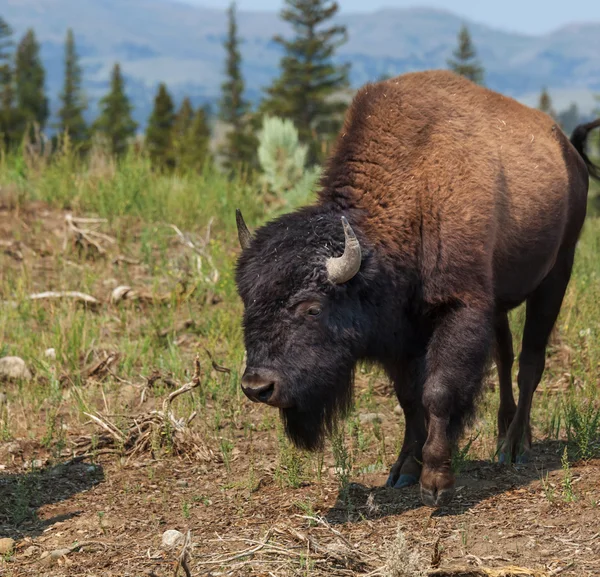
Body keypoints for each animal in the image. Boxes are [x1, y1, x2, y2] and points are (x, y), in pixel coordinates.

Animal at [234, 70, 600, 506]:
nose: (257, 386)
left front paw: (436, 481)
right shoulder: (400, 332)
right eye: (247, 301)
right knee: (505, 357)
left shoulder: (458, 309)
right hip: (499, 303)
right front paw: (404, 469)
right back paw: (506, 436)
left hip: (556, 274)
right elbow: (409, 399)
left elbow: (438, 391)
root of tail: (569, 153)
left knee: (530, 362)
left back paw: (514, 448)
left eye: (312, 308)